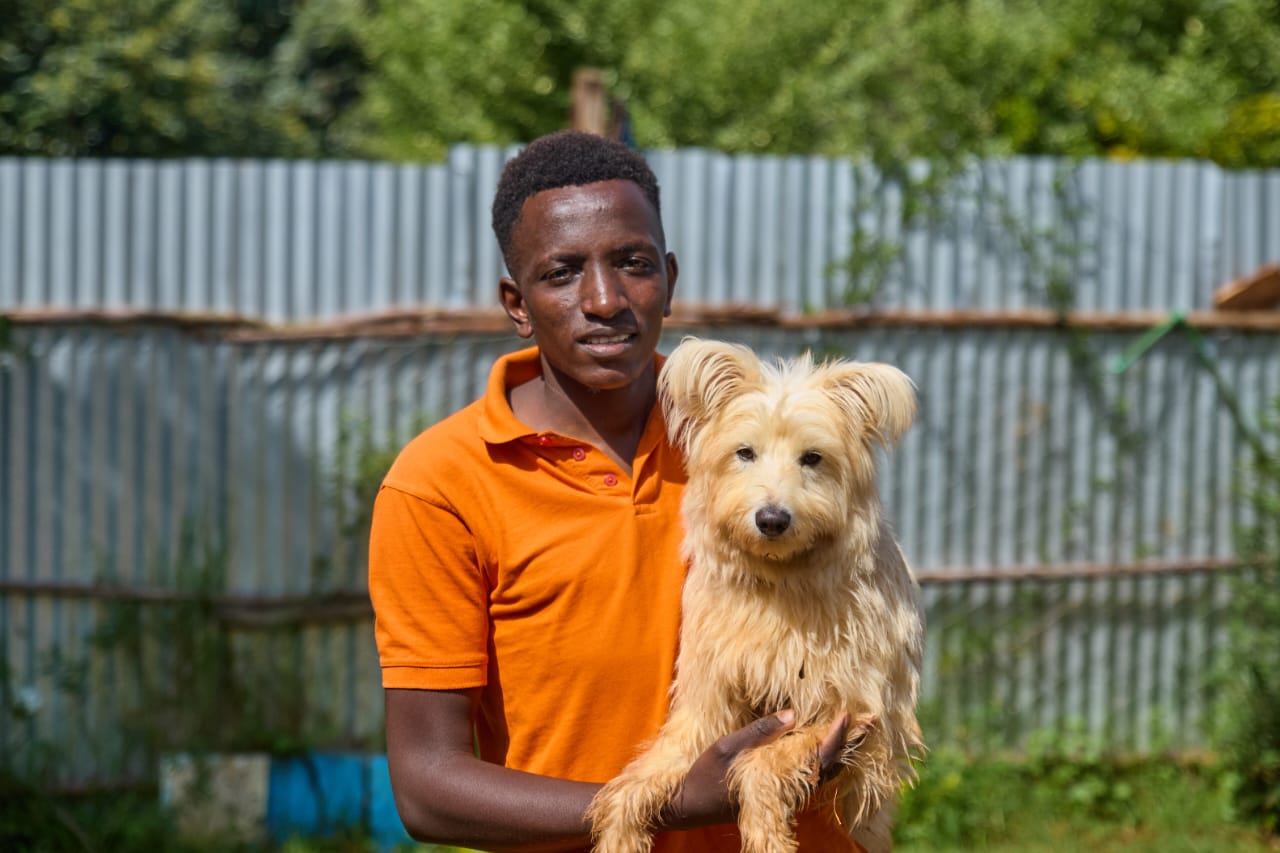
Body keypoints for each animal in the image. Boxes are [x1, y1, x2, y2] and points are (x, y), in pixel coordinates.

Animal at [587, 337, 925, 853]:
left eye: (812, 458)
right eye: (744, 452)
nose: (772, 519)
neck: (778, 585)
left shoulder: (857, 714)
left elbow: (760, 766)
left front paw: (768, 835)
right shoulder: (705, 703)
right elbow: (638, 780)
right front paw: (619, 836)